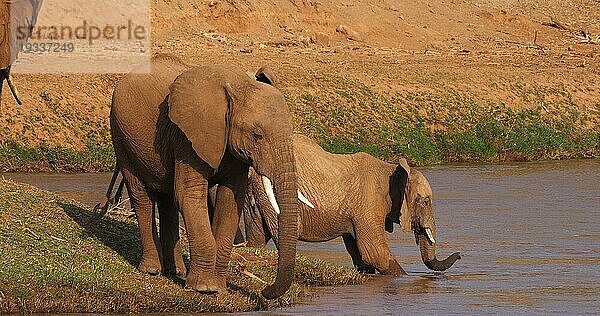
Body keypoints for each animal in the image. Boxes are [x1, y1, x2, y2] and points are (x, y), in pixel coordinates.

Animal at [110, 54, 298, 298]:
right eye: (257, 135)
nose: (264, 291)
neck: (238, 85)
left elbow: (231, 200)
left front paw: (219, 289)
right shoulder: (186, 136)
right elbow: (190, 196)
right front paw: (204, 288)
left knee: (168, 200)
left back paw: (176, 272)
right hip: (120, 134)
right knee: (141, 195)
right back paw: (151, 270)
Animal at [241, 135, 462, 276]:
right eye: (425, 201)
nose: (459, 255)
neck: (391, 168)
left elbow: (360, 255)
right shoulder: (368, 203)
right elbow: (374, 253)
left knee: (257, 237)